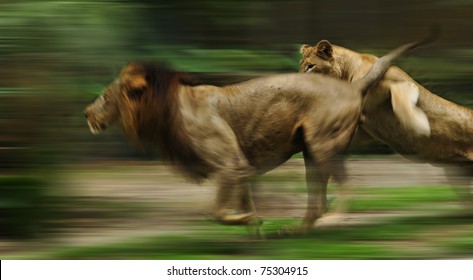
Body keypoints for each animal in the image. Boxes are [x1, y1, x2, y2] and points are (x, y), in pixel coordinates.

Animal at [84, 38, 428, 231]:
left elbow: (217, 212)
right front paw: (255, 226)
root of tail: (352, 86)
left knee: (349, 184)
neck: (166, 111)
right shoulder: (240, 167)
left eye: (105, 96)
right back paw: (300, 230)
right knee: (317, 198)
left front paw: (247, 221)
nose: (86, 113)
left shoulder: (230, 162)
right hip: (311, 153)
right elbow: (242, 200)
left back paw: (331, 222)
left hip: (324, 145)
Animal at [300, 37, 470, 212]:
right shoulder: (362, 129)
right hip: (455, 176)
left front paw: (418, 123)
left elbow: (400, 93)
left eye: (311, 66)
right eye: (302, 66)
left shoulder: (400, 83)